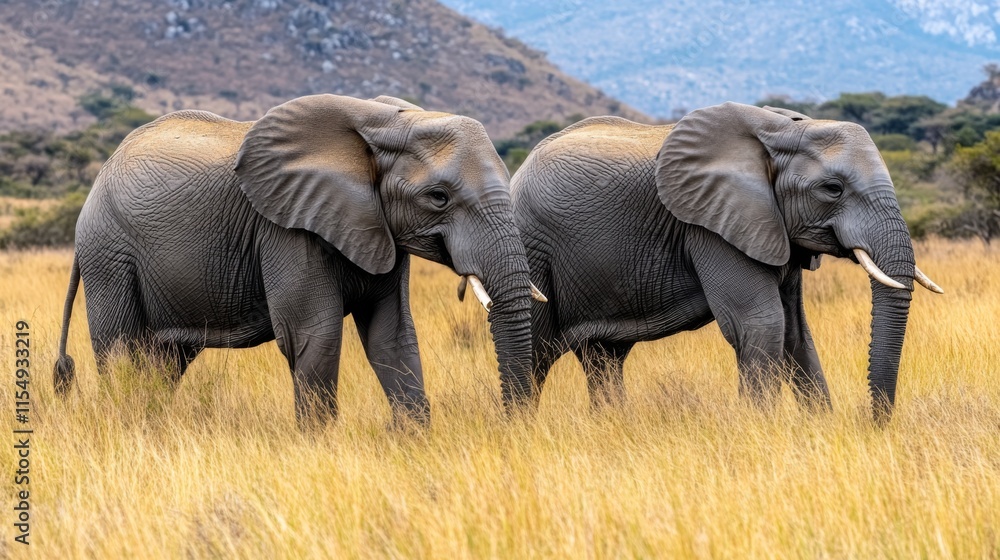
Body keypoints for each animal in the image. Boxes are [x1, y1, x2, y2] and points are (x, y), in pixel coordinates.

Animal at [53, 94, 545, 426]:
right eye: (438, 197)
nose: (510, 425)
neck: (382, 121)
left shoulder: (378, 227)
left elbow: (392, 334)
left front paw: (412, 439)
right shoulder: (285, 228)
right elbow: (315, 335)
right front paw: (320, 447)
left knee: (164, 362)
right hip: (109, 254)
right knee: (123, 352)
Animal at [509, 102, 942, 422]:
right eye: (832, 189)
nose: (873, 423)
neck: (780, 132)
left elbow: (795, 331)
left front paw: (819, 427)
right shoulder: (709, 226)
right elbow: (761, 323)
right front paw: (762, 431)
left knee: (603, 357)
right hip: (533, 248)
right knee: (536, 351)